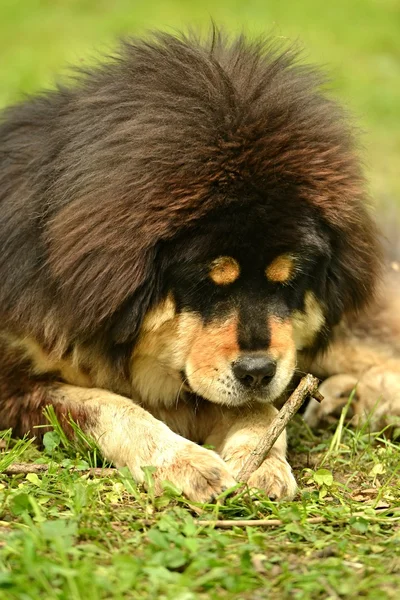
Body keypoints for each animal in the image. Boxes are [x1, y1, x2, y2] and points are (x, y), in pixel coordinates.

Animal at [0, 31, 396, 502]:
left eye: (289, 282)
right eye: (207, 283)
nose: (257, 371)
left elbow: (260, 409)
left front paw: (261, 461)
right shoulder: (14, 383)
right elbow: (110, 406)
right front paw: (184, 462)